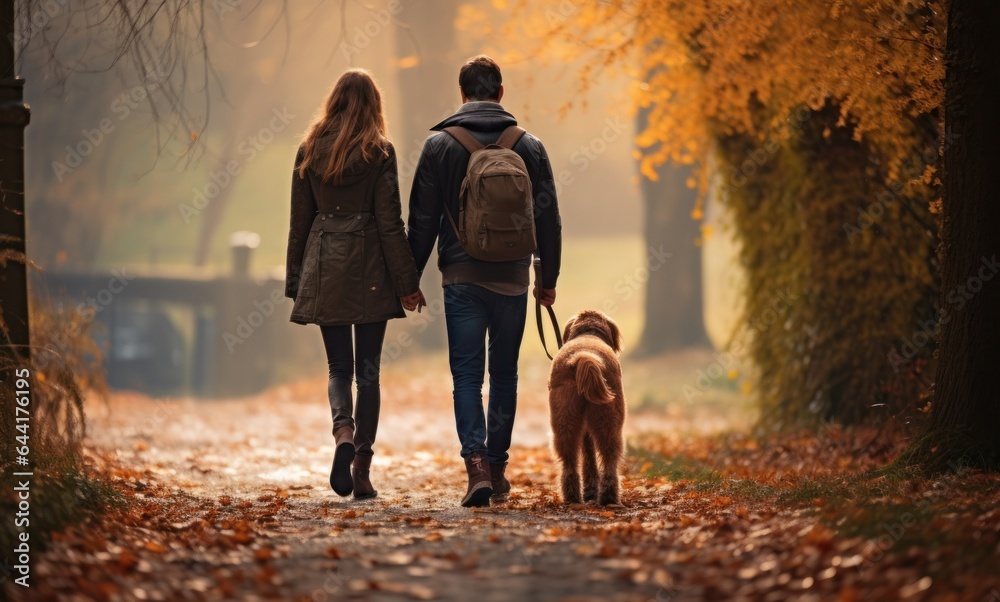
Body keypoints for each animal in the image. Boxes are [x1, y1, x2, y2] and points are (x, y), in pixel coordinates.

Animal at [548, 310, 624, 502]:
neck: (589, 332)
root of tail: (585, 357)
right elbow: (590, 455)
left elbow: (588, 455)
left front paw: (590, 490)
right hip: (611, 417)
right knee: (610, 456)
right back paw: (608, 496)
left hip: (565, 418)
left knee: (569, 459)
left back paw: (573, 496)